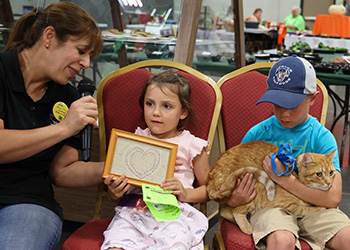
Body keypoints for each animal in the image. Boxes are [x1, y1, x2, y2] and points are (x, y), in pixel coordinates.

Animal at [208, 141, 336, 234]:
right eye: (318, 174)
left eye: (331, 172)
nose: (329, 183)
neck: (295, 174)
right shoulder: (289, 205)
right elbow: (306, 209)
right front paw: (320, 208)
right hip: (257, 187)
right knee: (235, 211)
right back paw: (246, 227)